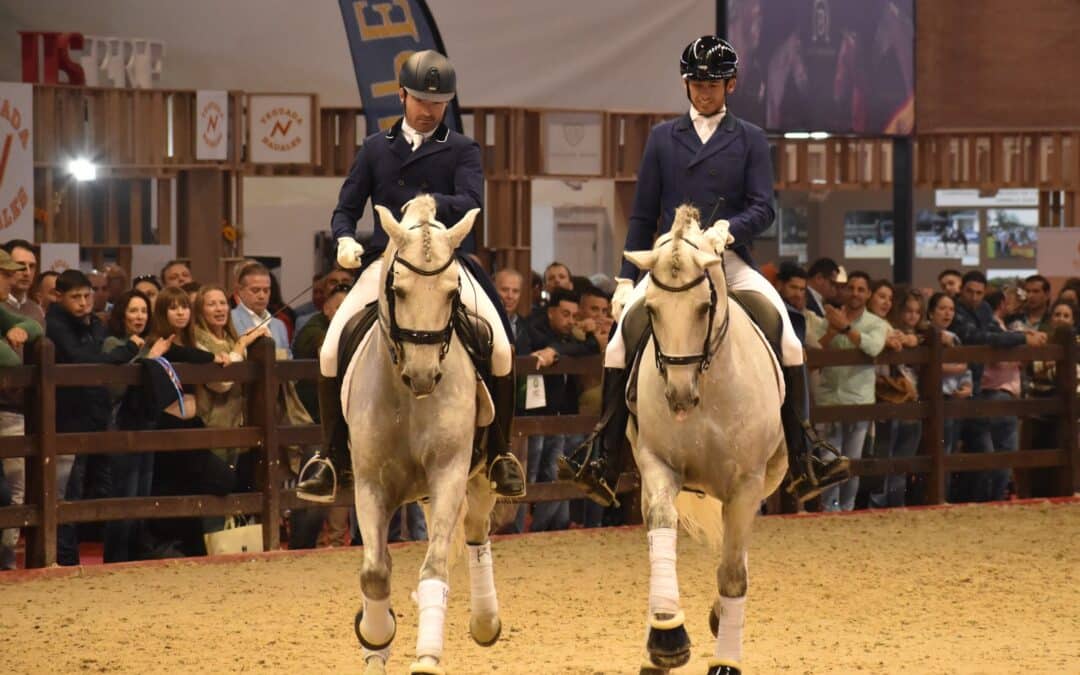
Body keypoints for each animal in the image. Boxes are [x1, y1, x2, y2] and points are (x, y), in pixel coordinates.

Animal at [341, 193, 501, 669]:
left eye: (452, 291)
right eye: (399, 290)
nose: (425, 375)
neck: (407, 399)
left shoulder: (448, 472)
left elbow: (435, 568)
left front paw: (427, 658)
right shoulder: (370, 485)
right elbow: (375, 573)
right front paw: (376, 638)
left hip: (479, 473)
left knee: (475, 528)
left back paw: (485, 621)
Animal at [626, 205, 786, 673]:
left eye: (703, 308)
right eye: (652, 310)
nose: (678, 396)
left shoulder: (747, 482)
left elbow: (733, 575)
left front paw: (725, 660)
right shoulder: (657, 464)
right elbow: (661, 530)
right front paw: (666, 637)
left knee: (736, 554)